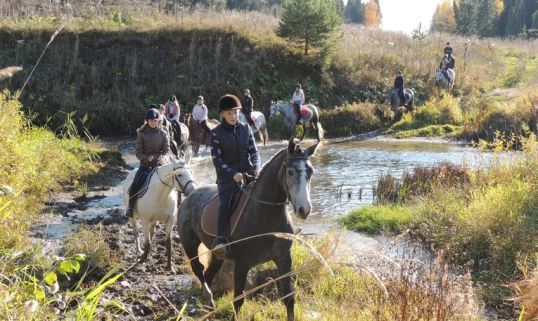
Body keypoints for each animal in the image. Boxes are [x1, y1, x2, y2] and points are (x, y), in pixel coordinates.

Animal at [176, 138, 318, 320]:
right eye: (291, 172)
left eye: (310, 172)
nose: (304, 210)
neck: (266, 214)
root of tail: (191, 195)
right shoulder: (242, 264)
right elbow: (238, 301)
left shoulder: (284, 259)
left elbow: (289, 298)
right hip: (190, 245)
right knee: (199, 270)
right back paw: (208, 298)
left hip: (218, 254)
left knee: (208, 274)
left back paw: (209, 306)